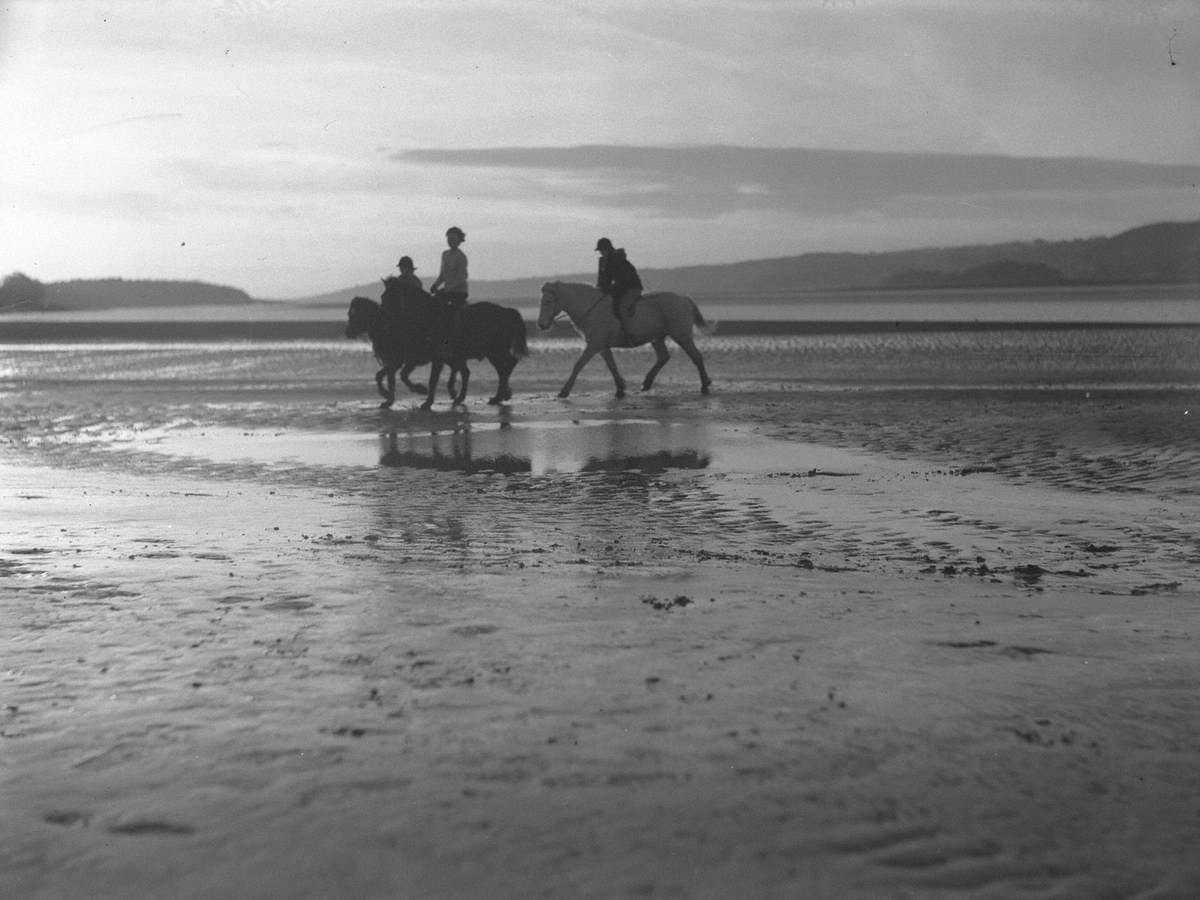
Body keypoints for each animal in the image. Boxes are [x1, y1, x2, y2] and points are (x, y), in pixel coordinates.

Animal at [350, 278, 532, 412]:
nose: (348, 332)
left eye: (389, 296)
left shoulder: (427, 358)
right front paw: (391, 397)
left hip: (494, 351)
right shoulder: (407, 360)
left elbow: (429, 380)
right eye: (383, 296)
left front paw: (425, 398)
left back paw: (499, 395)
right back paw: (483, 396)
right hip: (487, 352)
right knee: (486, 370)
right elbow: (387, 375)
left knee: (505, 367)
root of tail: (507, 311)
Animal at [535, 278, 710, 398]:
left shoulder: (595, 344)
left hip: (681, 335)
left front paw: (564, 391)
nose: (542, 325)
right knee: (663, 357)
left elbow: (579, 364)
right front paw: (620, 388)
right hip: (657, 337)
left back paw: (705, 385)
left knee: (696, 356)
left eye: (548, 301)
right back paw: (646, 383)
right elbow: (611, 365)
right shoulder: (601, 345)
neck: (592, 309)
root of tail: (685, 299)